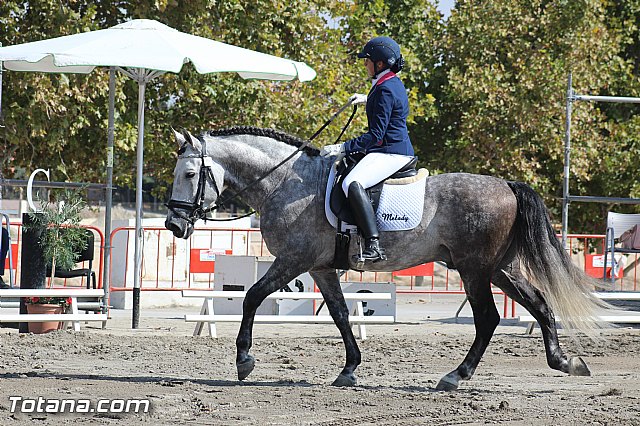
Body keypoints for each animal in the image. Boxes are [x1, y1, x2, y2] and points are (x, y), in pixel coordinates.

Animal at [165, 125, 604, 390]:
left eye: (189, 174)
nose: (173, 225)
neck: (285, 182)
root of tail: (508, 185)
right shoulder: (320, 268)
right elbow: (341, 314)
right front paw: (349, 369)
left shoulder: (294, 260)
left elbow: (253, 296)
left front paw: (244, 359)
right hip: (499, 268)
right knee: (539, 304)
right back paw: (565, 362)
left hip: (474, 269)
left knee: (489, 319)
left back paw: (455, 376)